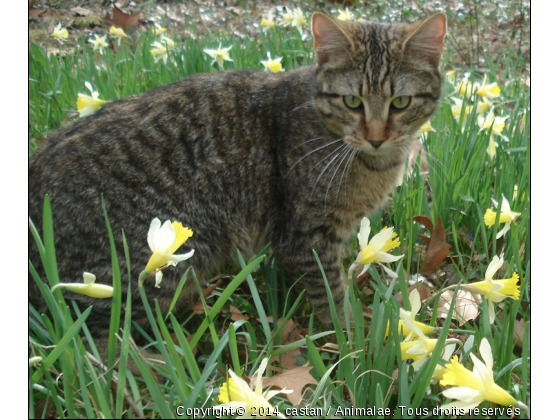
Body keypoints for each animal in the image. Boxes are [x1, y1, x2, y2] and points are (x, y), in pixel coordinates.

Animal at [28, 13, 446, 358]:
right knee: (87, 341)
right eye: (352, 101)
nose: (376, 137)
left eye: (401, 102)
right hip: (149, 262)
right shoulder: (307, 238)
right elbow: (331, 295)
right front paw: (354, 341)